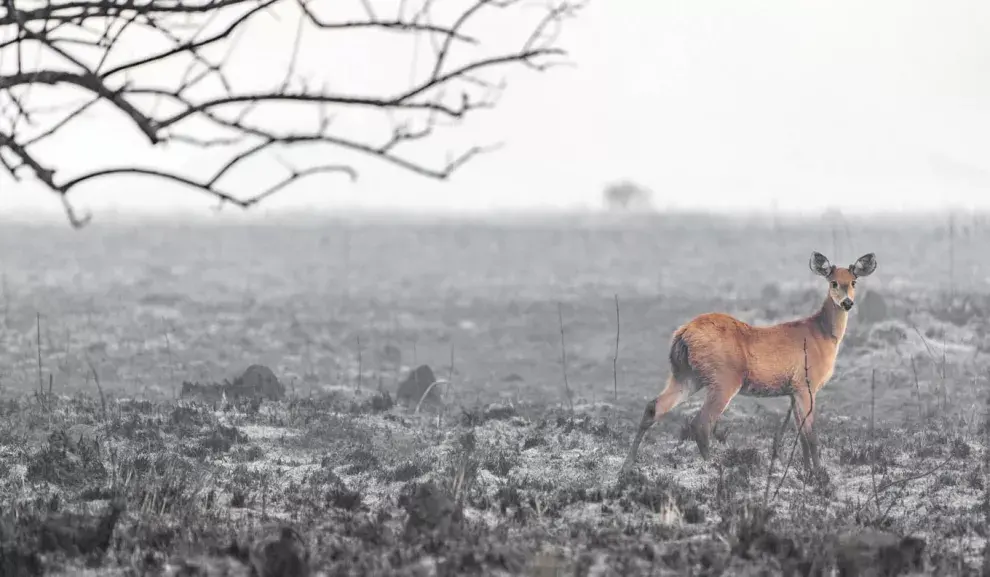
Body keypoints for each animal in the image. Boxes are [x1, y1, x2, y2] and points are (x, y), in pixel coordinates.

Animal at [624, 251, 880, 472]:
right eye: (833, 282)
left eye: (854, 282)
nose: (847, 303)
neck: (822, 334)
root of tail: (684, 333)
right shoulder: (806, 384)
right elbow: (811, 434)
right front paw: (819, 473)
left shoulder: (793, 390)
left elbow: (801, 435)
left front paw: (807, 471)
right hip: (724, 378)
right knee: (701, 423)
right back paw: (713, 466)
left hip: (686, 375)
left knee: (653, 407)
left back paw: (628, 464)